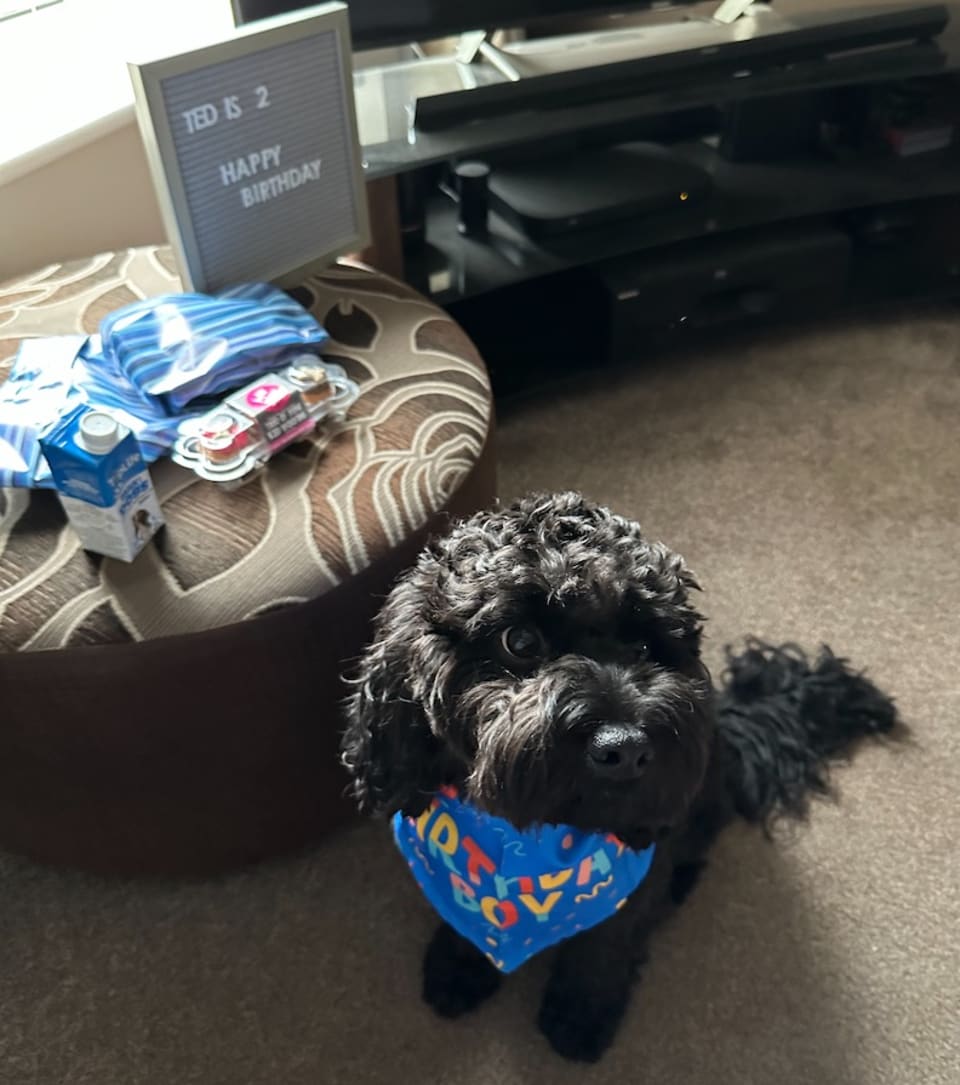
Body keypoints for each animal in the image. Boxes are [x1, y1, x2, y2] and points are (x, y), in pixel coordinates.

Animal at [340, 492, 893, 1058]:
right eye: (521, 641)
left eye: (646, 647)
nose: (625, 750)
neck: (531, 840)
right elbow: (463, 915)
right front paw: (459, 965)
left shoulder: (629, 890)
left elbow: (603, 950)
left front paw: (582, 1015)